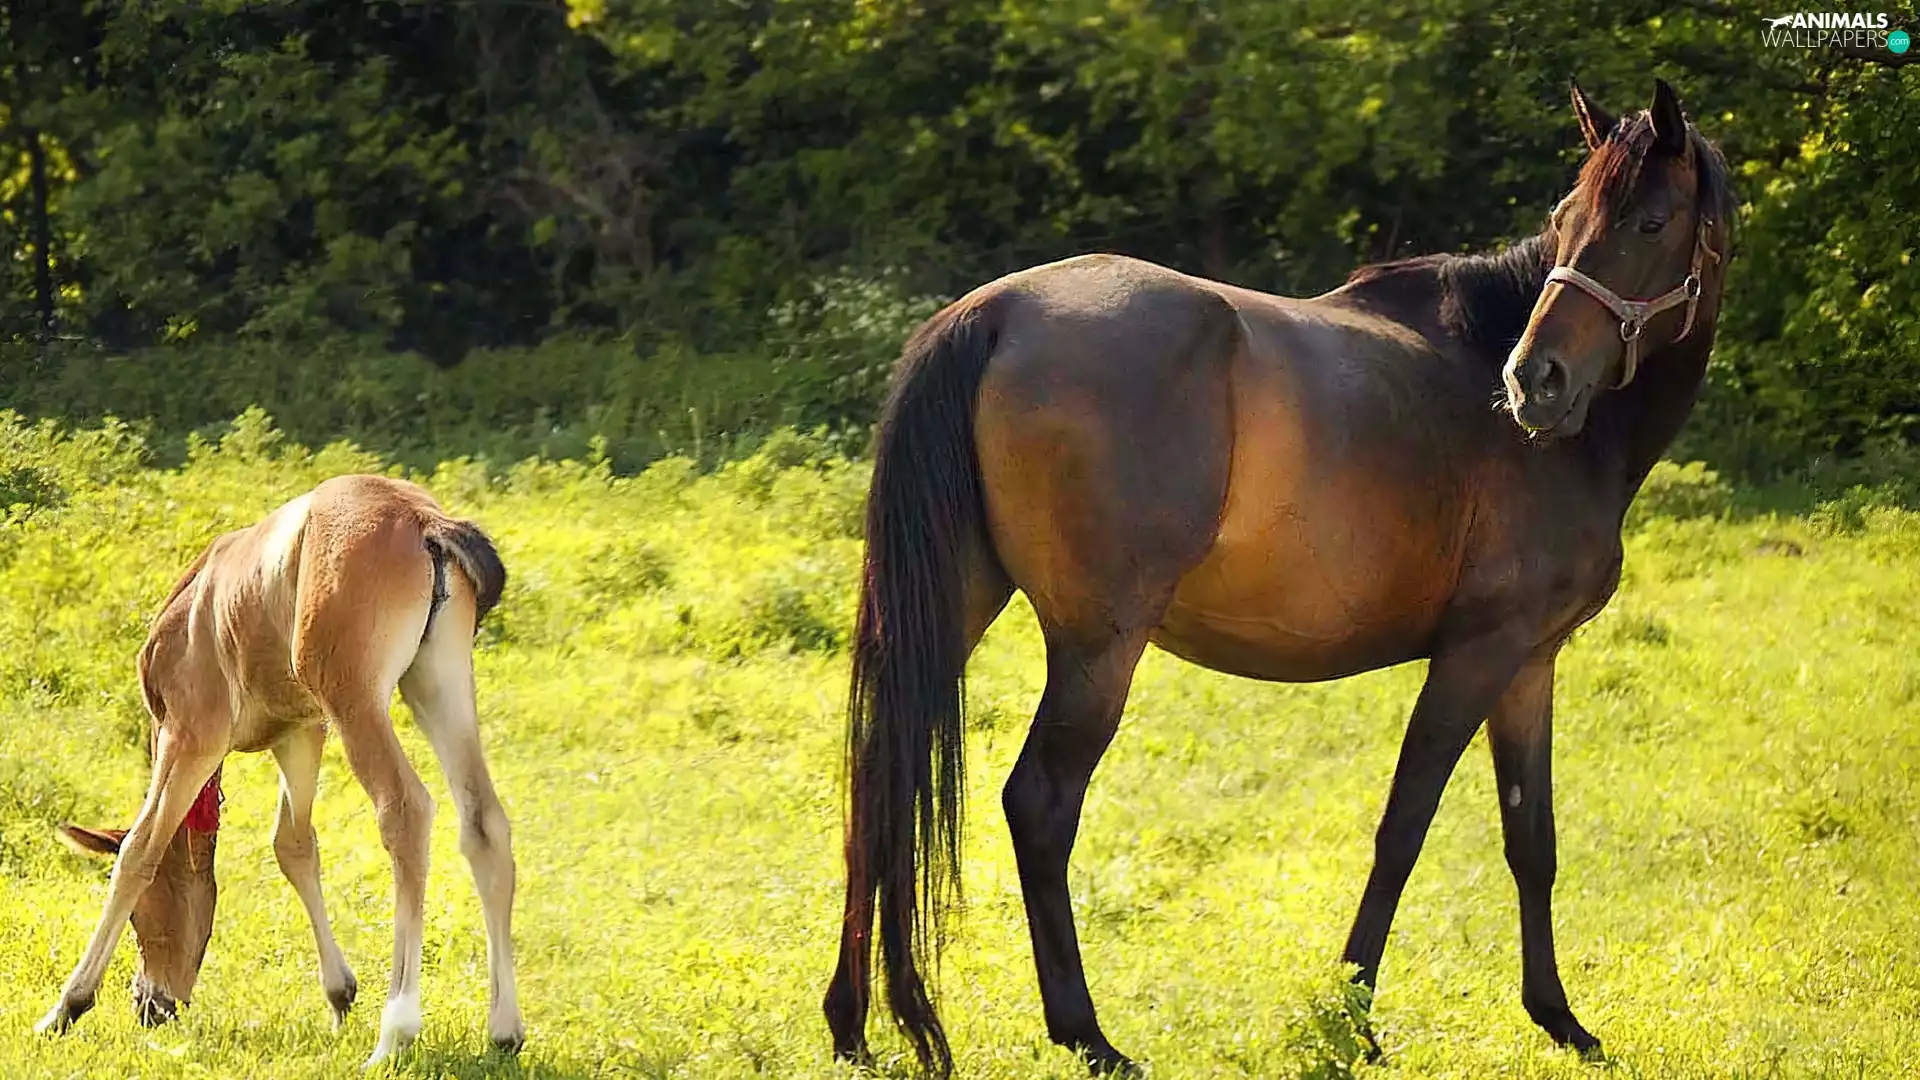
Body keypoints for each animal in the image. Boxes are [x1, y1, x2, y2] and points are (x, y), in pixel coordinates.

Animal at [35, 474, 525, 1067]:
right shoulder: (301, 732)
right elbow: (292, 845)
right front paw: (339, 995)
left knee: (406, 810)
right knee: (483, 821)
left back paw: (395, 1032)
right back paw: (504, 1030)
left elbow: (141, 848)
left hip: (357, 702)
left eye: (139, 919)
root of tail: (427, 522)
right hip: (438, 684)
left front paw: (67, 1006)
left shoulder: (192, 734)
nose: (151, 1006)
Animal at [824, 78, 1731, 1075]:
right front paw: (1353, 1019)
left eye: (1649, 222)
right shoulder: (1477, 655)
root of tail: (996, 314)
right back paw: (1087, 1033)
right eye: (1566, 222)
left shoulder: (1531, 665)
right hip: (1099, 647)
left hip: (957, 606)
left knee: (879, 778)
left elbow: (1532, 839)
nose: (1536, 380)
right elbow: (1404, 827)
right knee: (1041, 804)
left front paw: (1560, 1019)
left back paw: (852, 1020)